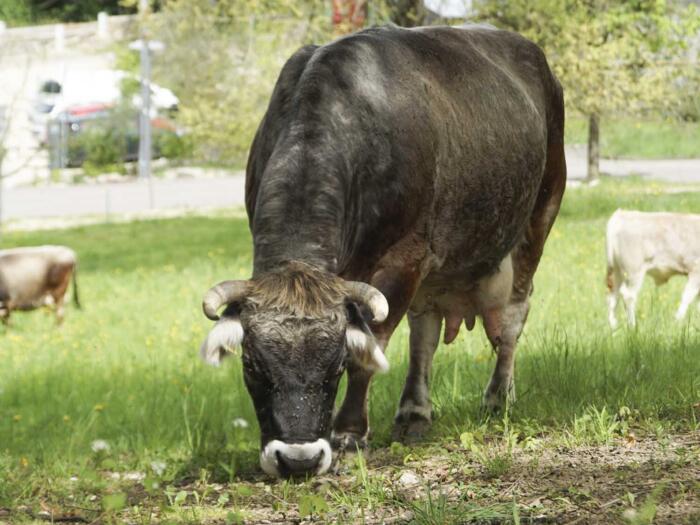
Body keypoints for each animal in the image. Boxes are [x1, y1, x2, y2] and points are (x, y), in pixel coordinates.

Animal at [199, 25, 566, 478]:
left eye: (336, 363)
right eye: (251, 364)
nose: (299, 460)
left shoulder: (403, 259)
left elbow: (370, 349)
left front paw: (349, 433)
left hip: (540, 214)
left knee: (513, 318)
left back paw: (498, 396)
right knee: (425, 332)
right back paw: (414, 411)